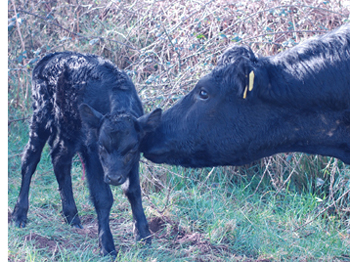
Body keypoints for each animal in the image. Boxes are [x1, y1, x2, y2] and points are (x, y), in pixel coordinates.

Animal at [10, 52, 161, 256]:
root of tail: (49, 57)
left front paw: (144, 235)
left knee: (60, 160)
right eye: (102, 147)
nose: (114, 178)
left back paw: (72, 216)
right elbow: (103, 198)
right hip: (41, 117)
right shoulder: (91, 152)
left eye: (131, 148)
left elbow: (134, 191)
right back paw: (19, 214)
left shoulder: (133, 160)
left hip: (69, 131)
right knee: (30, 159)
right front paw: (107, 245)